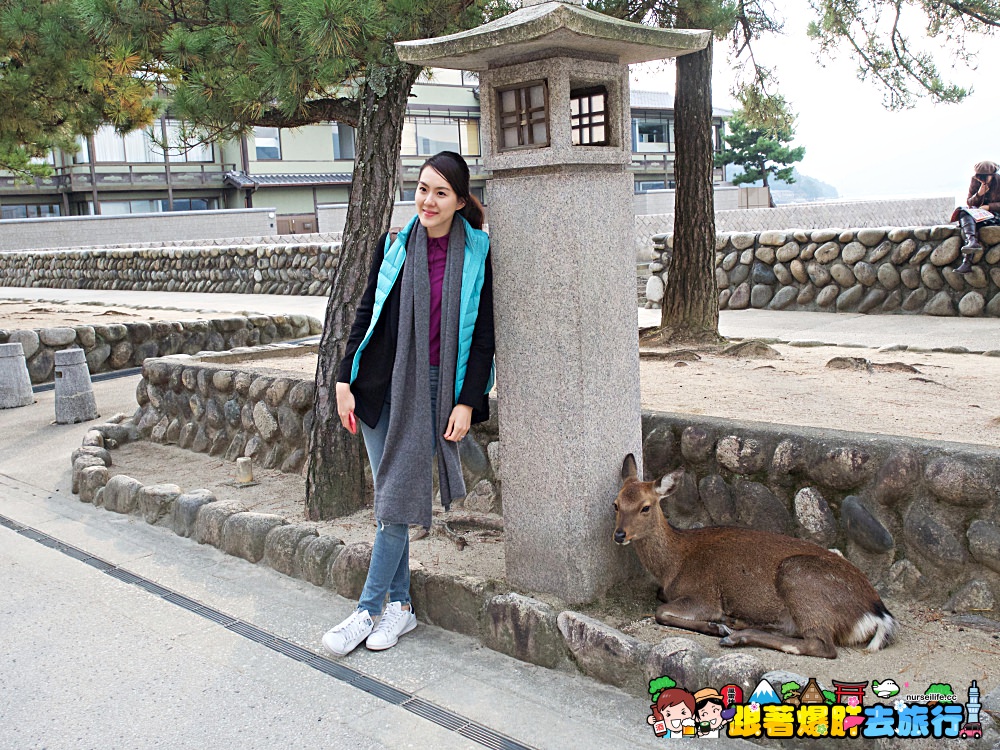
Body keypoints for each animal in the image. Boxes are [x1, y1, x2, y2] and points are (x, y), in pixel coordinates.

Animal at [612, 452, 904, 656]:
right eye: (616, 503)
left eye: (645, 507)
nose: (619, 534)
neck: (673, 563)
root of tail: (878, 614)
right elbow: (660, 599)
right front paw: (720, 623)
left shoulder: (705, 595)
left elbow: (660, 612)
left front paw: (714, 626)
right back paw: (737, 623)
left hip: (798, 576)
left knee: (820, 645)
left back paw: (734, 635)